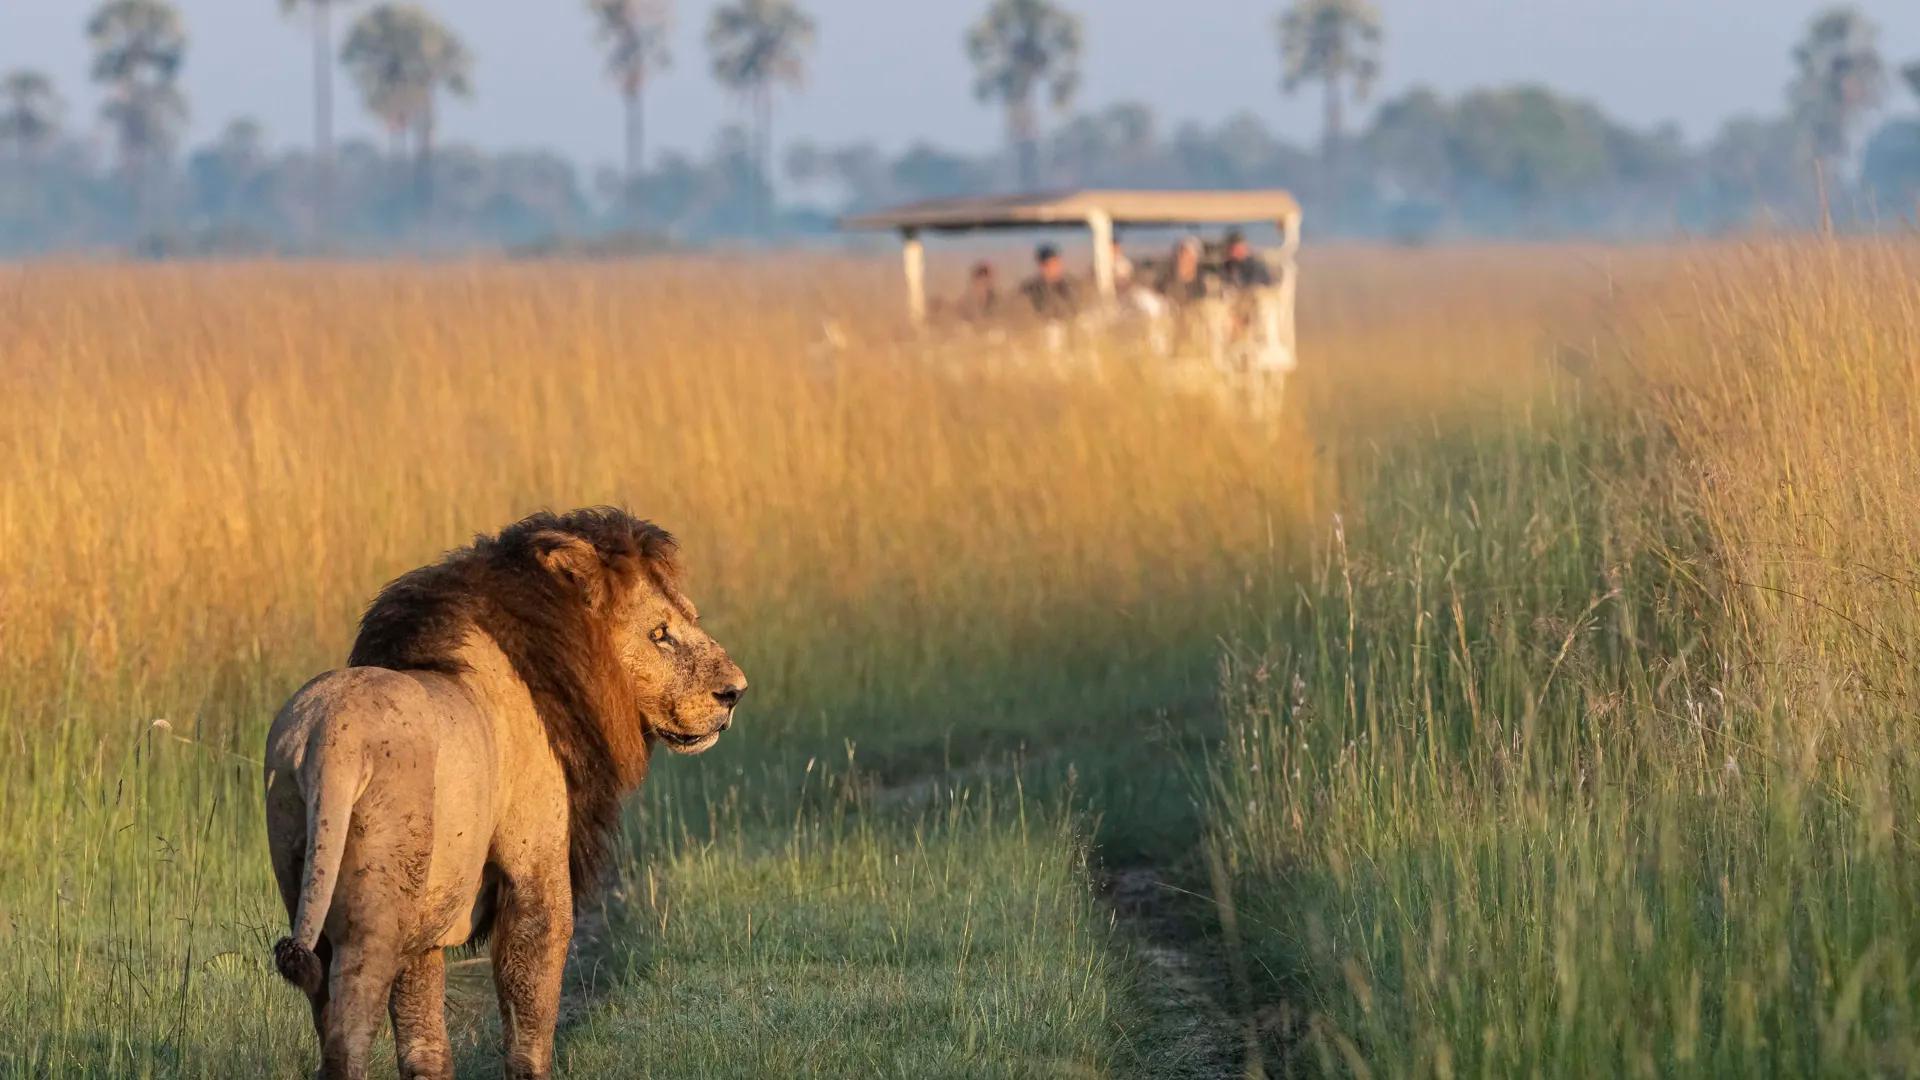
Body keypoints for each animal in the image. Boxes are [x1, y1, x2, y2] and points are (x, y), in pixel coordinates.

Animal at [263, 508, 746, 1080]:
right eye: (661, 634)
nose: (735, 691)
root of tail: (325, 740)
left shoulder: (428, 918)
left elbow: (423, 1035)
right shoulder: (533, 865)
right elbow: (529, 1002)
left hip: (303, 867)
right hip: (374, 916)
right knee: (347, 1035)